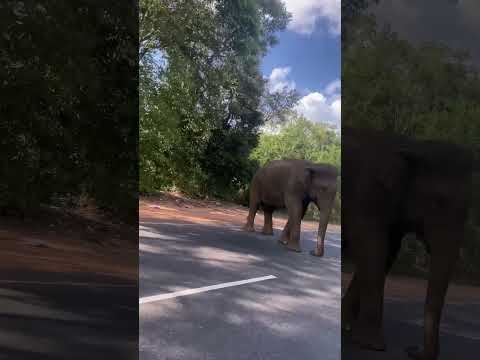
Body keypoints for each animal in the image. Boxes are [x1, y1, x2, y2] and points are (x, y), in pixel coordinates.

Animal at [342, 126, 472, 360]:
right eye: (436, 203)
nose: (412, 350)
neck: (412, 146)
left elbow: (387, 252)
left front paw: (347, 327)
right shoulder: (366, 195)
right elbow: (373, 249)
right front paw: (373, 345)